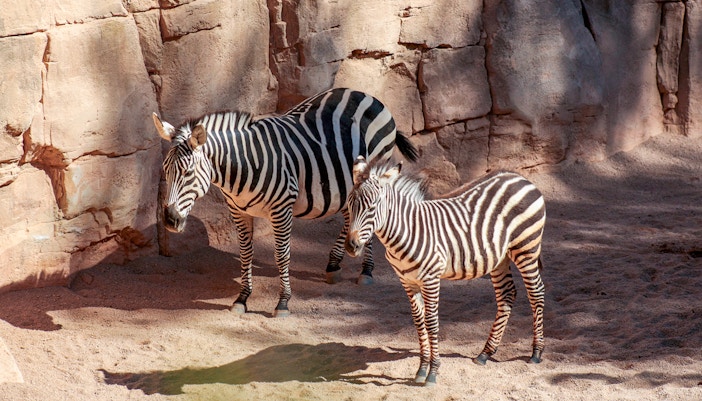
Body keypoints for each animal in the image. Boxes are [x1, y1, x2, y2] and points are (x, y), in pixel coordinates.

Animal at [152, 88, 418, 317]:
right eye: (165, 169)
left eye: (188, 172)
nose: (169, 220)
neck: (244, 163)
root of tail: (366, 94)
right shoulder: (238, 210)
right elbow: (245, 253)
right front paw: (242, 298)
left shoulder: (281, 209)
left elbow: (281, 255)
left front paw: (283, 302)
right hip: (345, 180)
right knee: (349, 214)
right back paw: (334, 264)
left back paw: (366, 270)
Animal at [344, 157, 546, 386]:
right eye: (349, 204)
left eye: (373, 206)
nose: (351, 246)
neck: (405, 231)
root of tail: (520, 178)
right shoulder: (407, 281)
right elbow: (419, 323)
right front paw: (422, 369)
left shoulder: (431, 279)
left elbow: (432, 322)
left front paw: (433, 372)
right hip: (499, 257)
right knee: (507, 294)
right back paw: (485, 353)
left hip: (526, 248)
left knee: (536, 292)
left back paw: (536, 352)